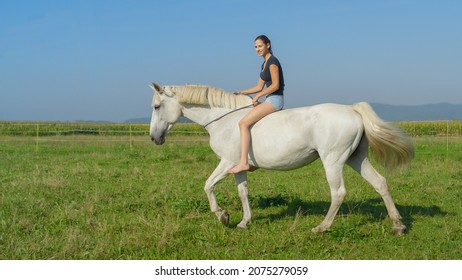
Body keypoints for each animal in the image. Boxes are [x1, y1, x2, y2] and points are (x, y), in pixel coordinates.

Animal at [149, 82, 416, 234]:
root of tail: (352, 109)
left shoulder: (227, 163)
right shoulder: (239, 168)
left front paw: (223, 216)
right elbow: (243, 192)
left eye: (156, 106)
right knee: (380, 183)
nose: (154, 138)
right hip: (355, 159)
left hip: (333, 160)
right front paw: (244, 222)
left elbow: (207, 185)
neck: (223, 120)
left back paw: (321, 227)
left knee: (338, 193)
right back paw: (398, 226)